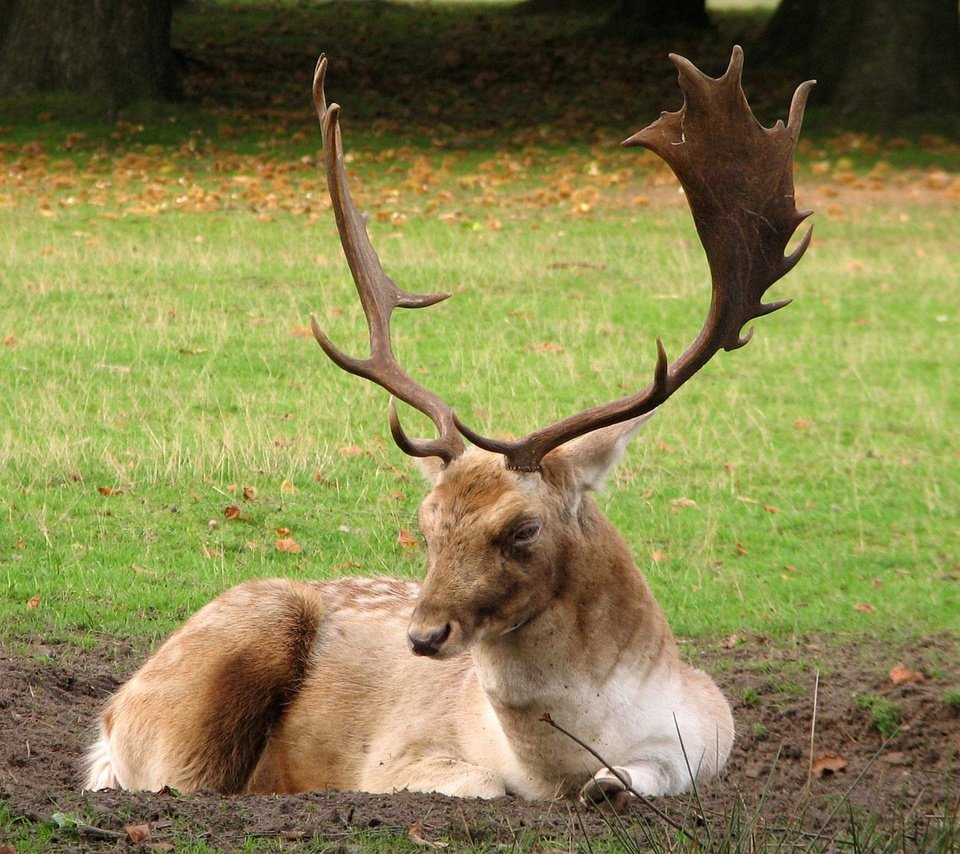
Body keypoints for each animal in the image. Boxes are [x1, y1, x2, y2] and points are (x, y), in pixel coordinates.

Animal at [86, 46, 812, 804]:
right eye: (426, 523)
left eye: (523, 530)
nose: (424, 636)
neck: (557, 765)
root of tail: (107, 721)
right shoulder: (397, 756)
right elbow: (484, 785)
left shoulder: (710, 733)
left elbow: (642, 778)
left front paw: (611, 784)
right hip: (209, 683)